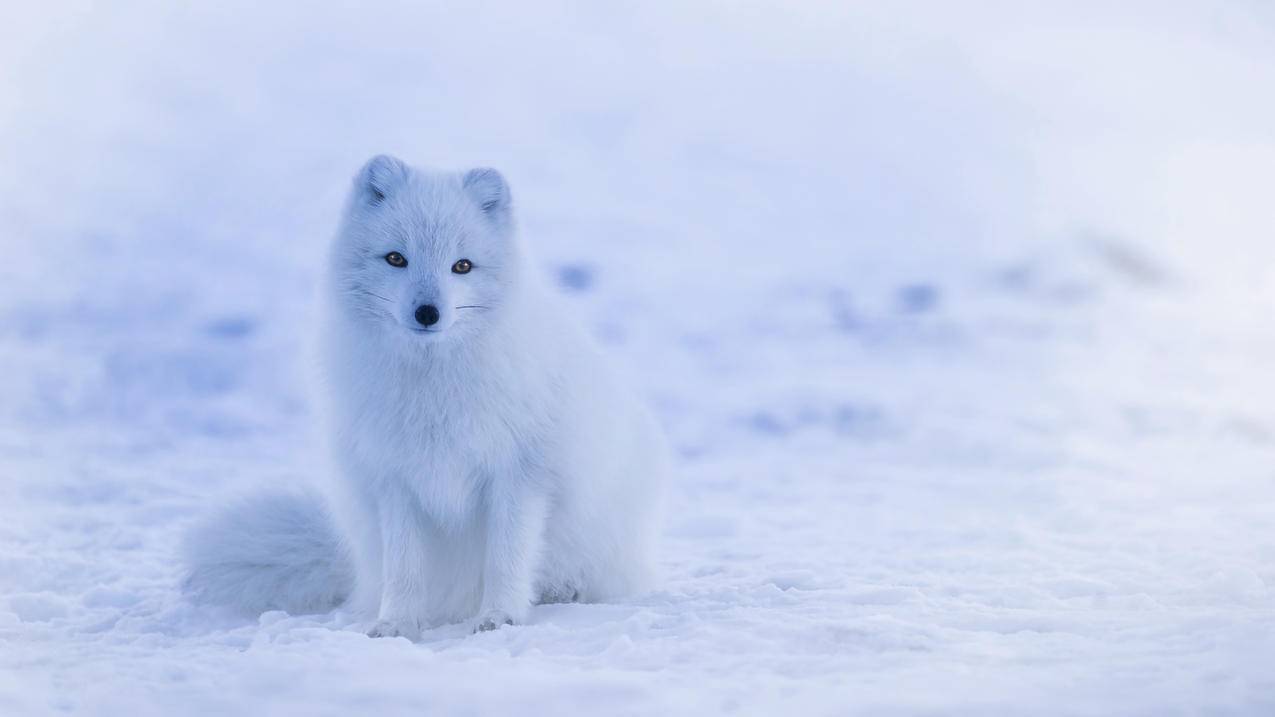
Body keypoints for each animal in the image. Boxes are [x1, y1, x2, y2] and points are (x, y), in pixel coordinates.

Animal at [188, 156, 673, 635]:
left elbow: (507, 557)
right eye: (396, 258)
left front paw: (500, 616)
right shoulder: (395, 479)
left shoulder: (520, 475)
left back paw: (561, 591)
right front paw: (397, 624)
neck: (433, 386)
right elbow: (404, 567)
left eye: (462, 266)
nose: (427, 312)